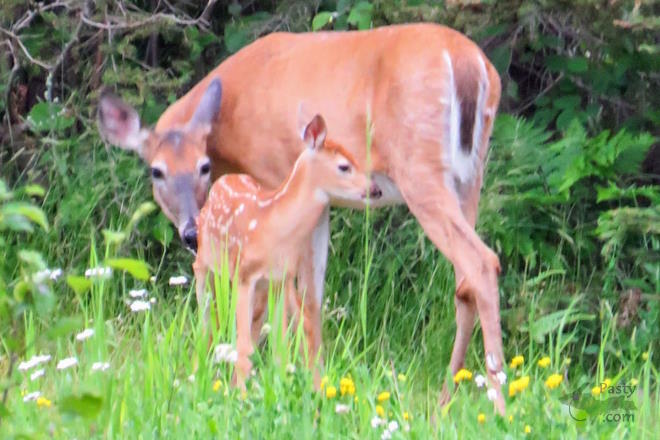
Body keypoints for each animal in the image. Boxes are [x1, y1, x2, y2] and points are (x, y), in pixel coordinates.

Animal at [96, 23, 506, 412]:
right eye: (157, 171)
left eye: (203, 166)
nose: (190, 233)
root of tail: (469, 64)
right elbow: (312, 296)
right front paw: (309, 378)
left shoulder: (275, 179)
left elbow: (283, 296)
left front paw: (291, 380)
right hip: (471, 175)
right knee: (464, 282)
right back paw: (445, 403)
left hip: (419, 168)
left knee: (482, 262)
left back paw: (499, 402)